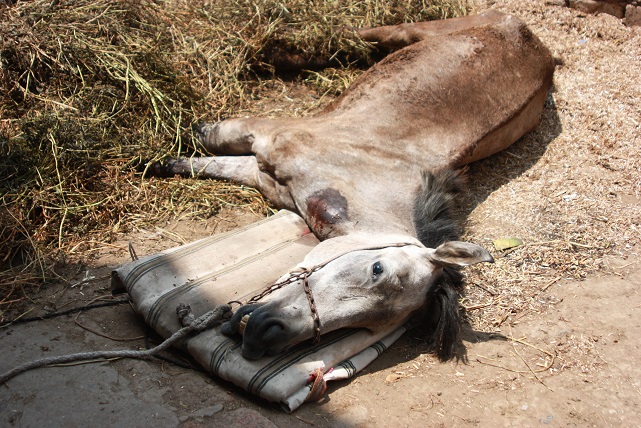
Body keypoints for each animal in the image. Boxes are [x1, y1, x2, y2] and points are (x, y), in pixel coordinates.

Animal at [149, 9, 552, 362]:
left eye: (366, 326)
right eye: (377, 269)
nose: (265, 334)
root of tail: (537, 46)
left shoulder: (268, 176)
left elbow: (218, 164)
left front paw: (166, 163)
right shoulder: (267, 134)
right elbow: (214, 139)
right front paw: (159, 155)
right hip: (422, 29)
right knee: (365, 35)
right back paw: (270, 55)